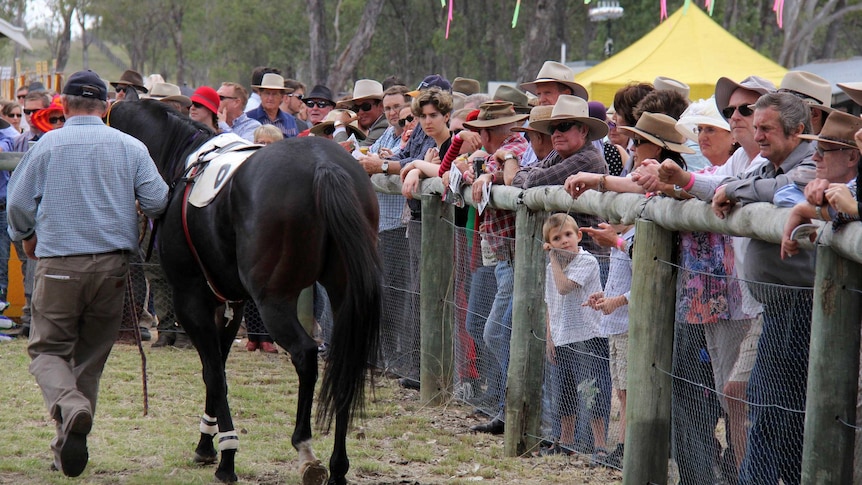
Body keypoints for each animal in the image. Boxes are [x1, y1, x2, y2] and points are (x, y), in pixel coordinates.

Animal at [107, 100, 382, 482]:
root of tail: (323, 167)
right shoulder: (230, 302)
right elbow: (217, 368)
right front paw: (207, 444)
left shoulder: (192, 299)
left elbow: (213, 373)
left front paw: (226, 457)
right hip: (345, 296)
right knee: (344, 363)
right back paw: (338, 466)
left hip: (273, 301)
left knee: (306, 354)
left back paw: (305, 449)